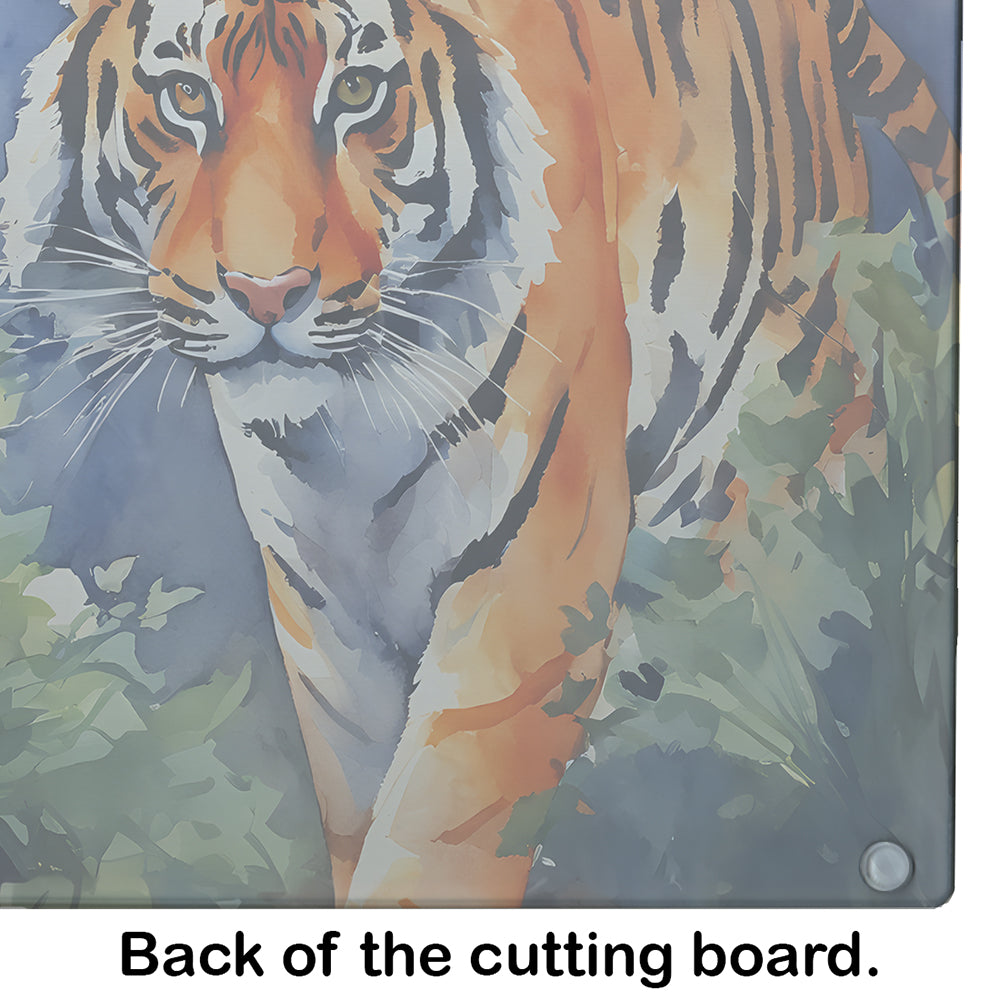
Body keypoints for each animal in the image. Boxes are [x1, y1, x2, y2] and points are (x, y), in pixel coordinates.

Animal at [0, 0, 957, 906]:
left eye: (358, 92)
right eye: (187, 98)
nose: (267, 295)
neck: (342, 431)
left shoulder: (529, 585)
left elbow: (436, 835)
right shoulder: (326, 626)